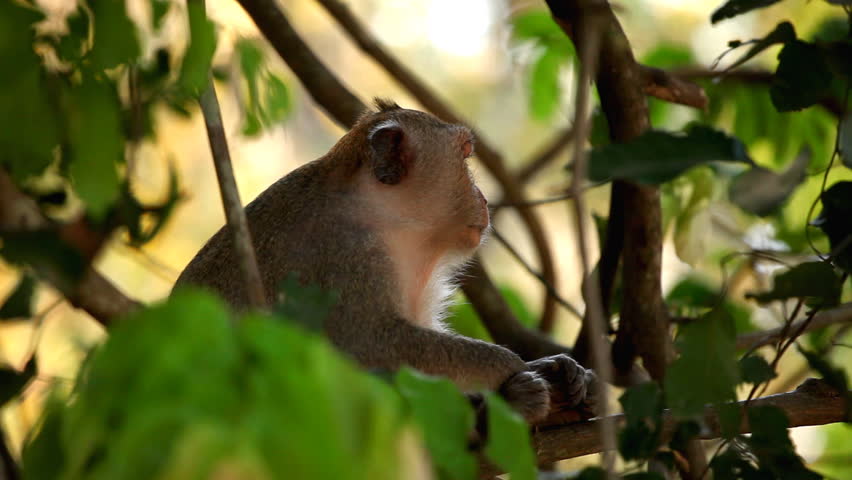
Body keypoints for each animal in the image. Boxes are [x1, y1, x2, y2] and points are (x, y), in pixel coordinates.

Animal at [175, 99, 596, 423]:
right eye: (464, 157)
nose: (483, 197)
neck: (381, 217)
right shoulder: (348, 253)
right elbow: (368, 344)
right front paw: (517, 371)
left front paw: (555, 370)